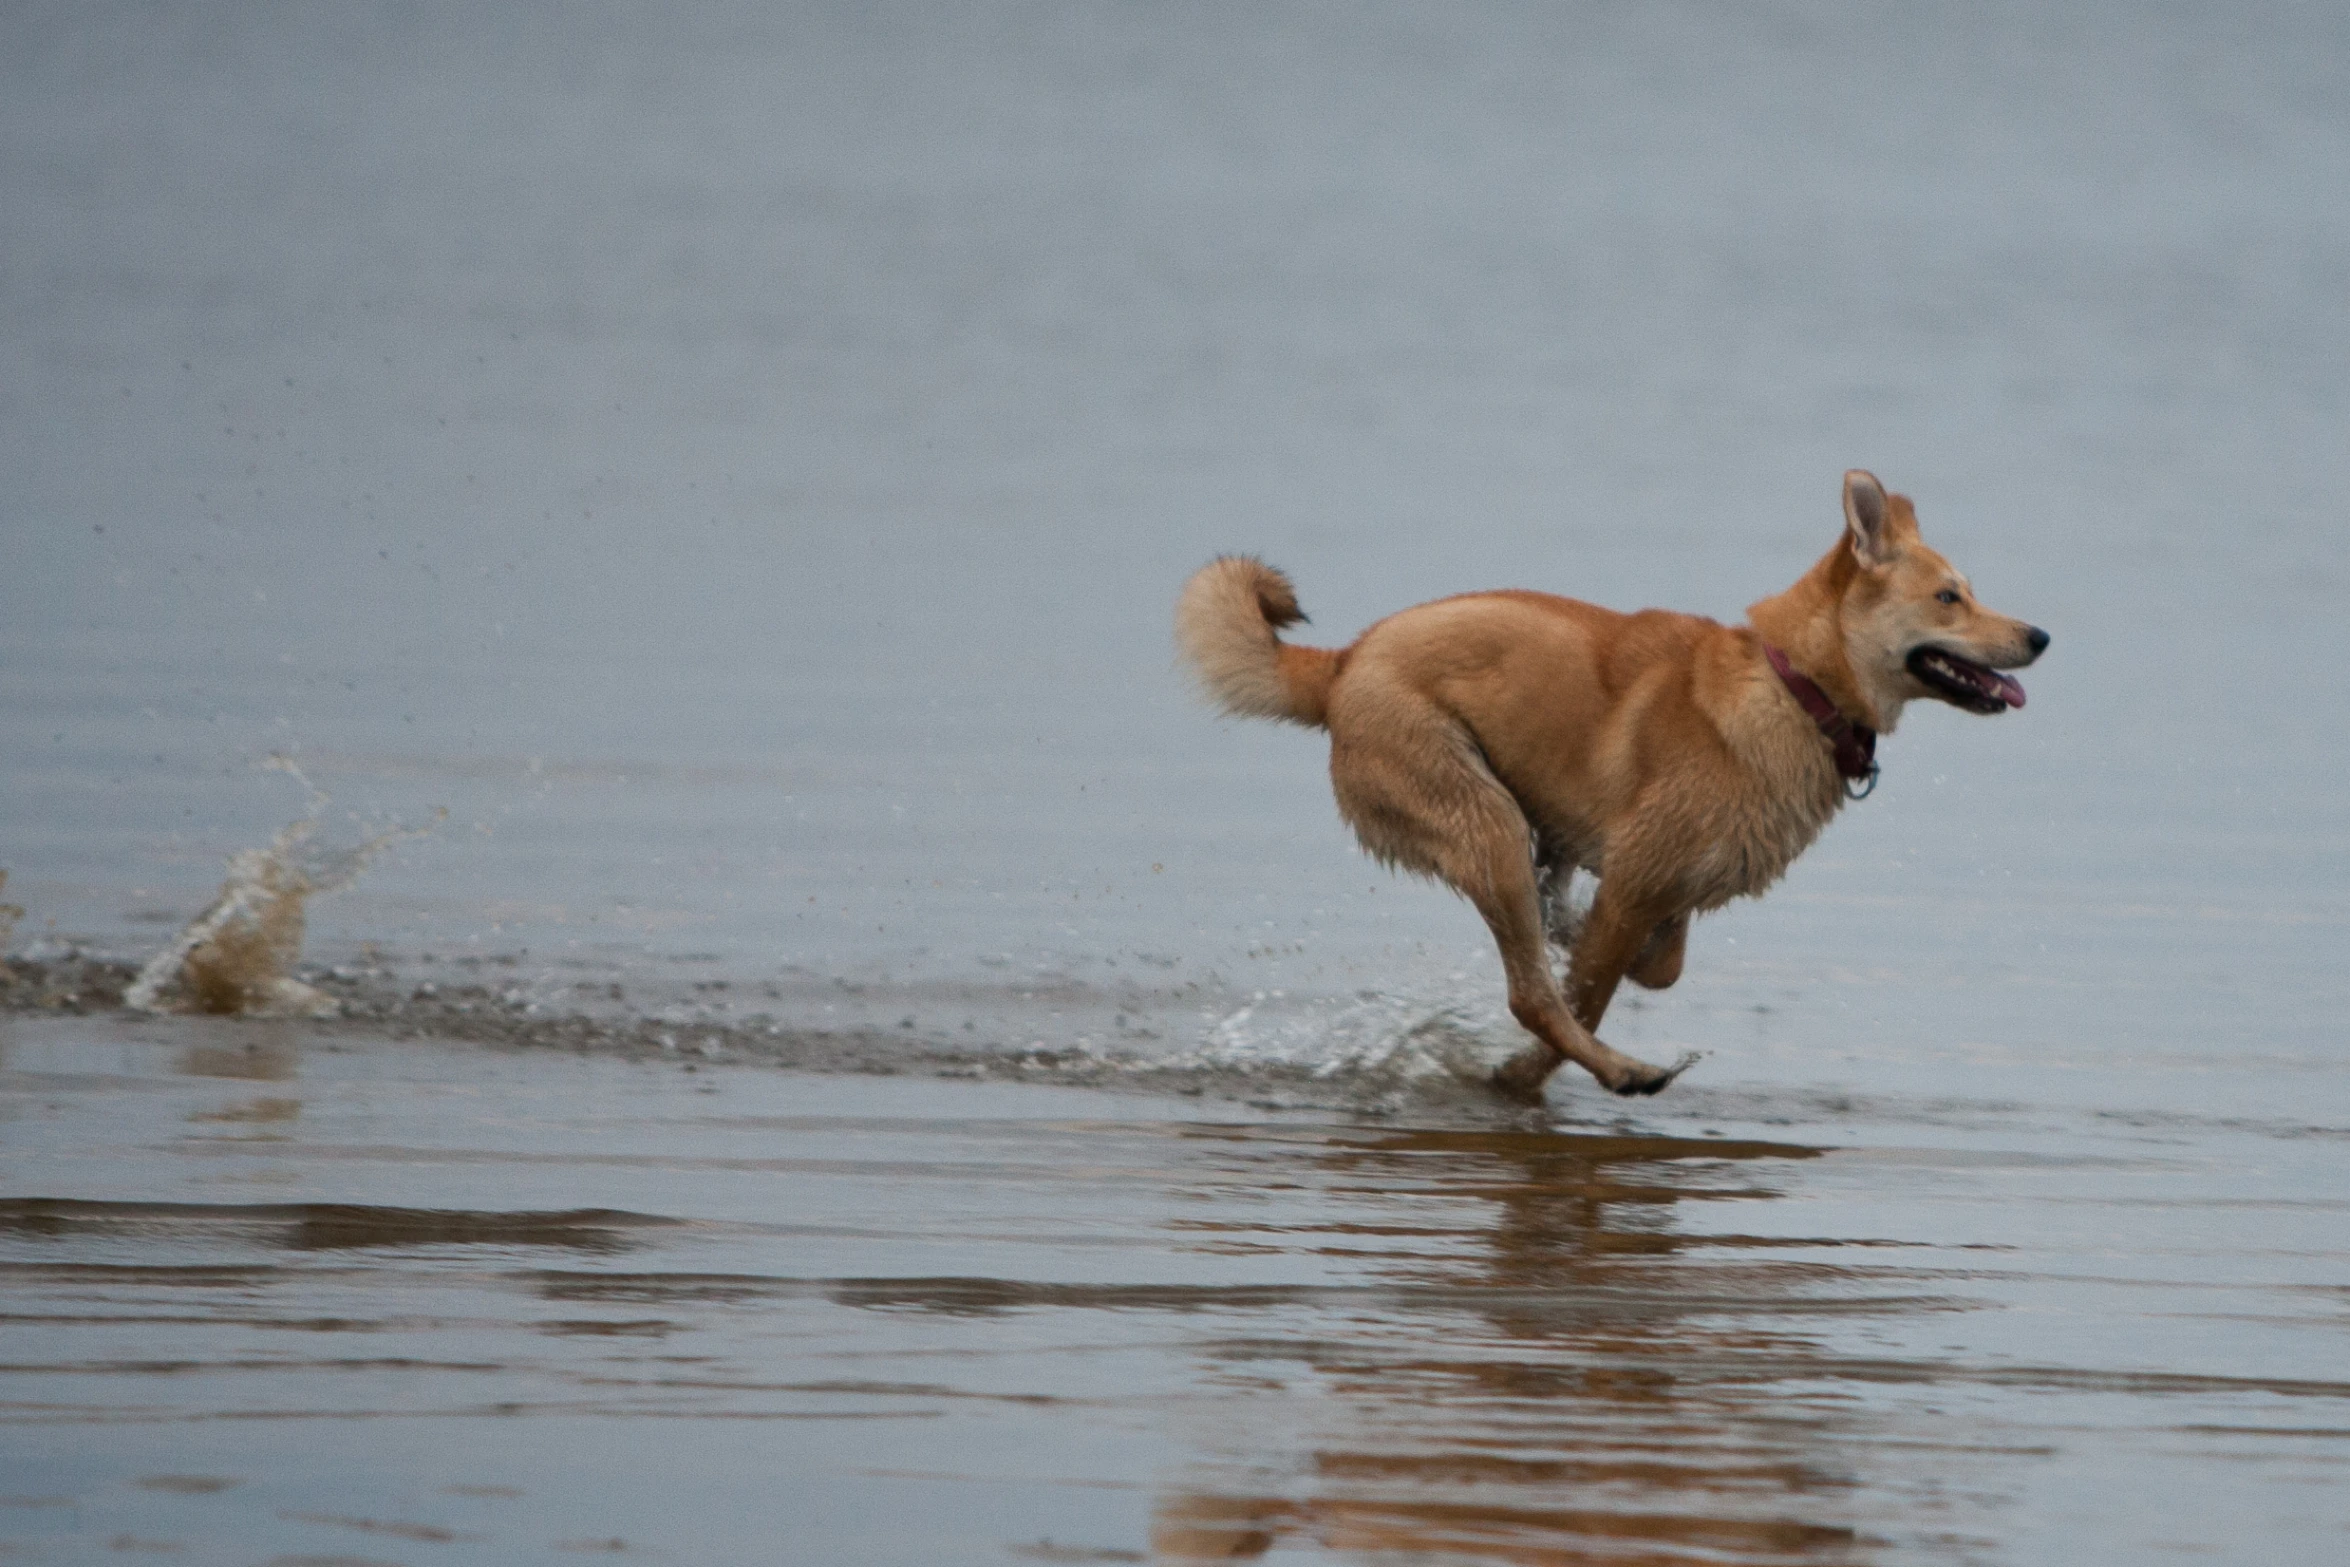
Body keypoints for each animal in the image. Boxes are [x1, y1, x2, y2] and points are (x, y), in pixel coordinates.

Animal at [1175, 472, 2039, 1099]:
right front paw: (1525, 1071)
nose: (2041, 635)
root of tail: (1342, 664)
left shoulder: (1661, 882)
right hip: (1479, 818)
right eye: (1949, 597)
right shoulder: (1637, 879)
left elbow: (1657, 963)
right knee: (1529, 994)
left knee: (1542, 929)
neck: (1795, 687)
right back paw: (1623, 1070)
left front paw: (1575, 932)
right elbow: (1587, 989)